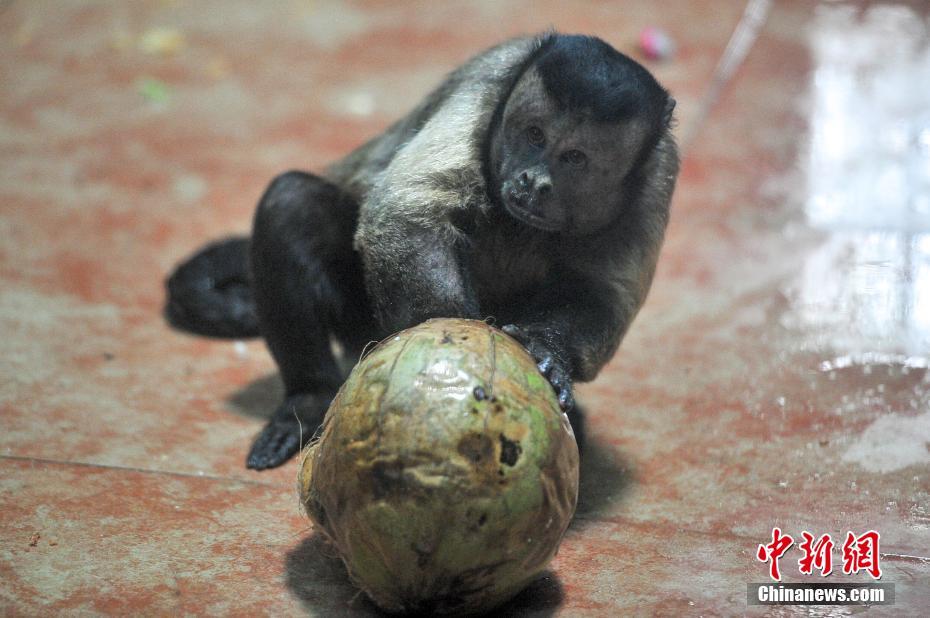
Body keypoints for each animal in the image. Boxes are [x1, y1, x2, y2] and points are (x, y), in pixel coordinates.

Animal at [163, 32, 676, 466]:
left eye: (574, 158)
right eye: (534, 135)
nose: (533, 180)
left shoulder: (659, 172)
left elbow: (601, 293)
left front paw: (549, 354)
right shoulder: (485, 89)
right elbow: (405, 216)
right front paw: (463, 348)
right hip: (362, 326)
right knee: (290, 202)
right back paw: (307, 400)